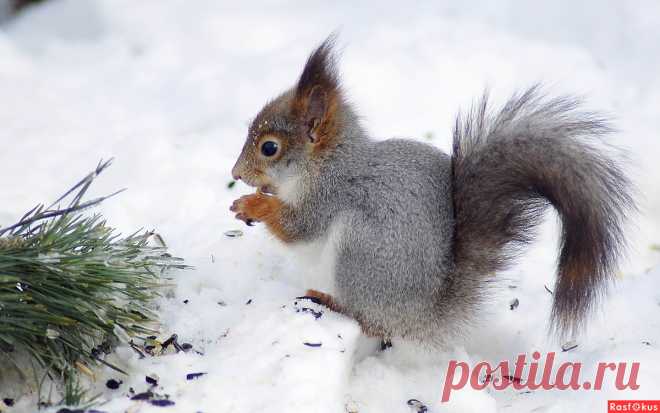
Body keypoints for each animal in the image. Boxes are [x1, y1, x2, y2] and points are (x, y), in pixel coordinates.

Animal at [229, 36, 636, 342]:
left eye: (269, 148)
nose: (236, 172)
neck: (325, 163)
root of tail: (424, 315)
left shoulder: (330, 195)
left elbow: (299, 228)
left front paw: (253, 205)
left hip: (360, 253)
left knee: (372, 322)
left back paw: (332, 302)